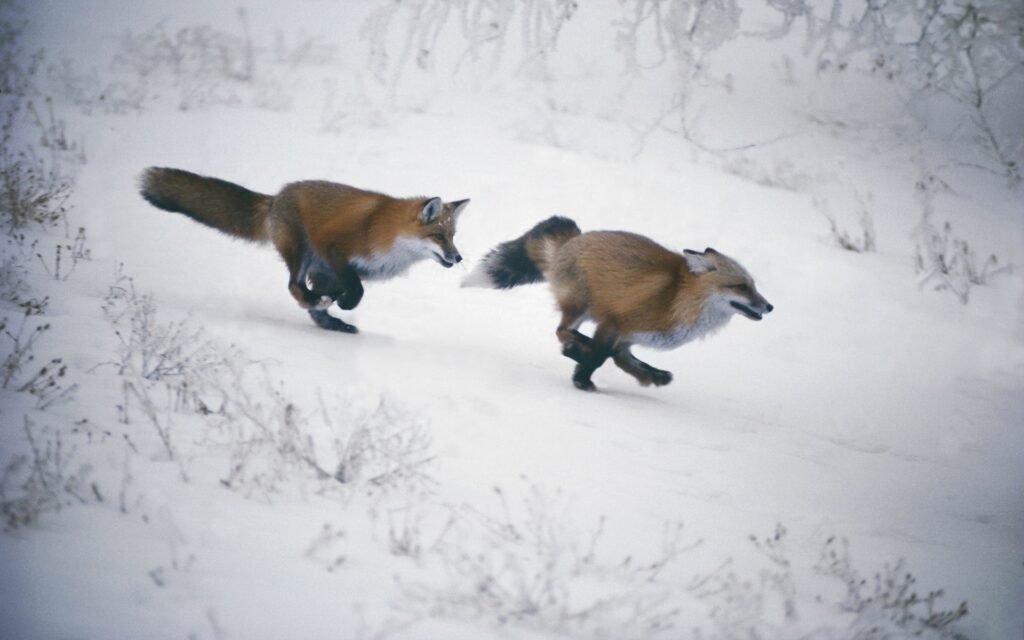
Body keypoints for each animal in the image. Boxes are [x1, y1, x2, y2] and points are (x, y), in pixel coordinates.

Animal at [138, 167, 469, 333]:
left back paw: (333, 322)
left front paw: (337, 307)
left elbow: (347, 291)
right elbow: (356, 290)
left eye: (453, 236)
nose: (458, 257)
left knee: (309, 301)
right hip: (301, 251)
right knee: (293, 287)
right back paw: (319, 305)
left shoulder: (344, 271)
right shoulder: (333, 247)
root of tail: (276, 197)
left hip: (313, 265)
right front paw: (343, 303)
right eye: (439, 236)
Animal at [463, 216, 773, 391]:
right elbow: (601, 356)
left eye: (754, 285)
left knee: (572, 336)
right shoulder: (614, 323)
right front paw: (582, 380)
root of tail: (575, 238)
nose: (769, 307)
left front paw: (652, 376)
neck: (678, 298)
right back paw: (577, 347)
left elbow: (623, 359)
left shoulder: (628, 337)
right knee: (562, 331)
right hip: (581, 305)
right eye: (741, 287)